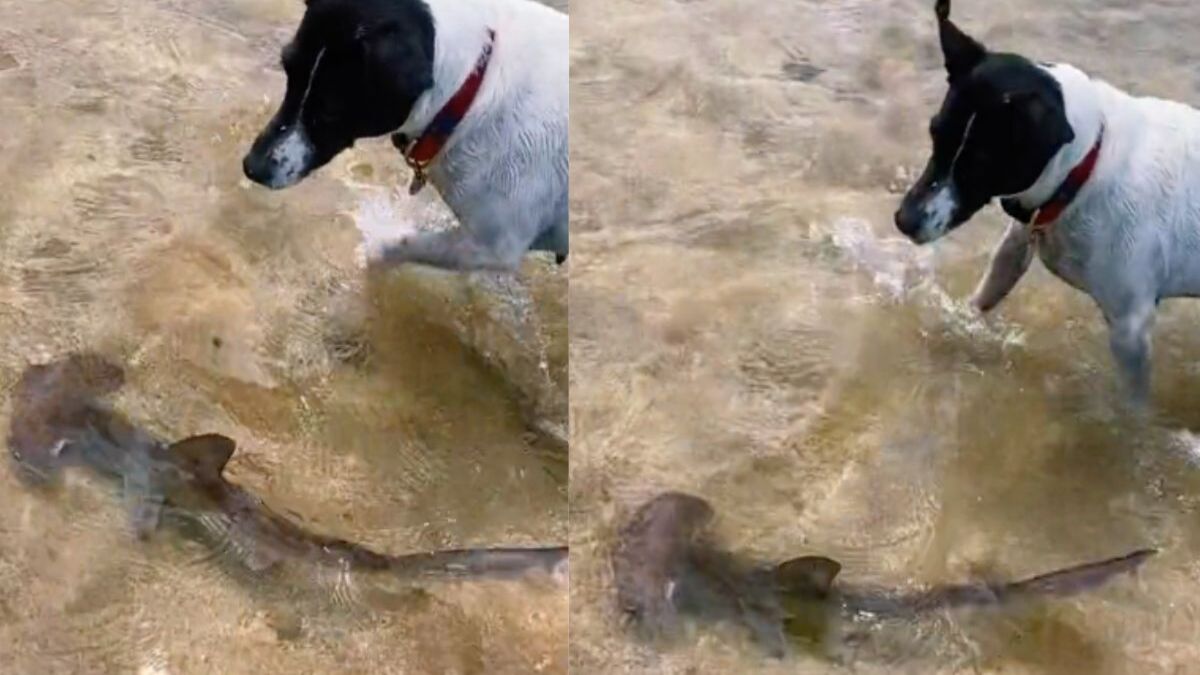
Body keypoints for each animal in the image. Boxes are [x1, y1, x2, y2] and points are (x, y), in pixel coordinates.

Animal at [241, 0, 568, 270]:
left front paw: (373, 253)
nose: (251, 167)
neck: (471, 86)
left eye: (329, 109)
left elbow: (401, 244)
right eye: (289, 72)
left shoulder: (494, 246)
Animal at [892, 0, 1200, 403]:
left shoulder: (1130, 328)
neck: (1088, 163)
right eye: (935, 133)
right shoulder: (1016, 244)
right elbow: (984, 295)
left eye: (982, 163)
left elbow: (1132, 405)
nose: (904, 220)